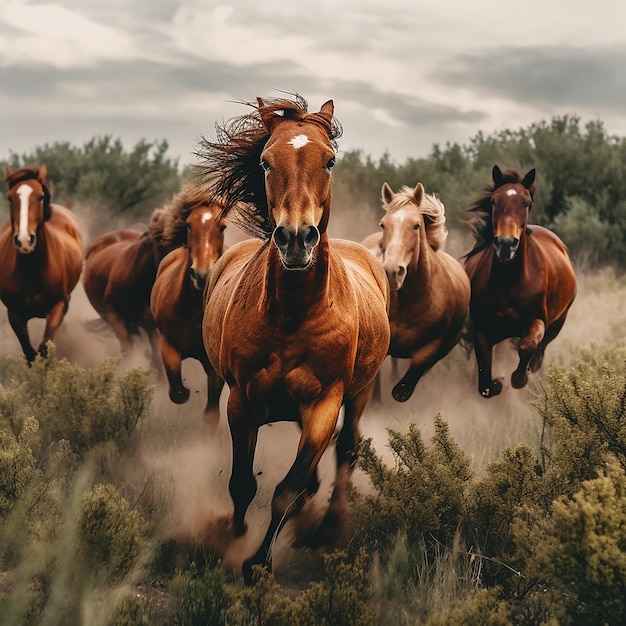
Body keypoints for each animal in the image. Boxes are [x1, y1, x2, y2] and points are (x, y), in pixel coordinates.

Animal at [0, 166, 83, 360]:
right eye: (10, 197)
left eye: (40, 196)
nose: (24, 241)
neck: (32, 270)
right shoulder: (15, 314)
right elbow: (30, 353)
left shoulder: (58, 307)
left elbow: (44, 349)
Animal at [149, 193, 227, 422]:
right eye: (189, 225)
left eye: (223, 227)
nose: (201, 275)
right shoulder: (168, 345)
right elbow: (178, 393)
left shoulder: (214, 366)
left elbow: (211, 412)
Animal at [197, 92, 388, 580]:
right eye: (265, 161)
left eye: (331, 160)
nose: (297, 238)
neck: (293, 316)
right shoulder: (242, 401)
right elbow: (242, 484)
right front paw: (232, 534)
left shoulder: (324, 405)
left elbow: (288, 488)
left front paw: (258, 564)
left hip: (359, 394)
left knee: (346, 452)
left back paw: (329, 526)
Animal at [360, 180, 468, 402]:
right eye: (383, 224)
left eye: (416, 225)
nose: (392, 271)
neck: (409, 301)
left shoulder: (431, 347)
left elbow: (403, 388)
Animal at [464, 161, 576, 394]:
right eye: (493, 201)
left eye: (526, 203)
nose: (506, 244)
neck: (509, 283)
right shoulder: (482, 330)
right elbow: (484, 377)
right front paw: (497, 383)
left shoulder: (537, 321)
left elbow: (528, 346)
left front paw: (519, 378)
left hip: (557, 323)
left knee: (540, 350)